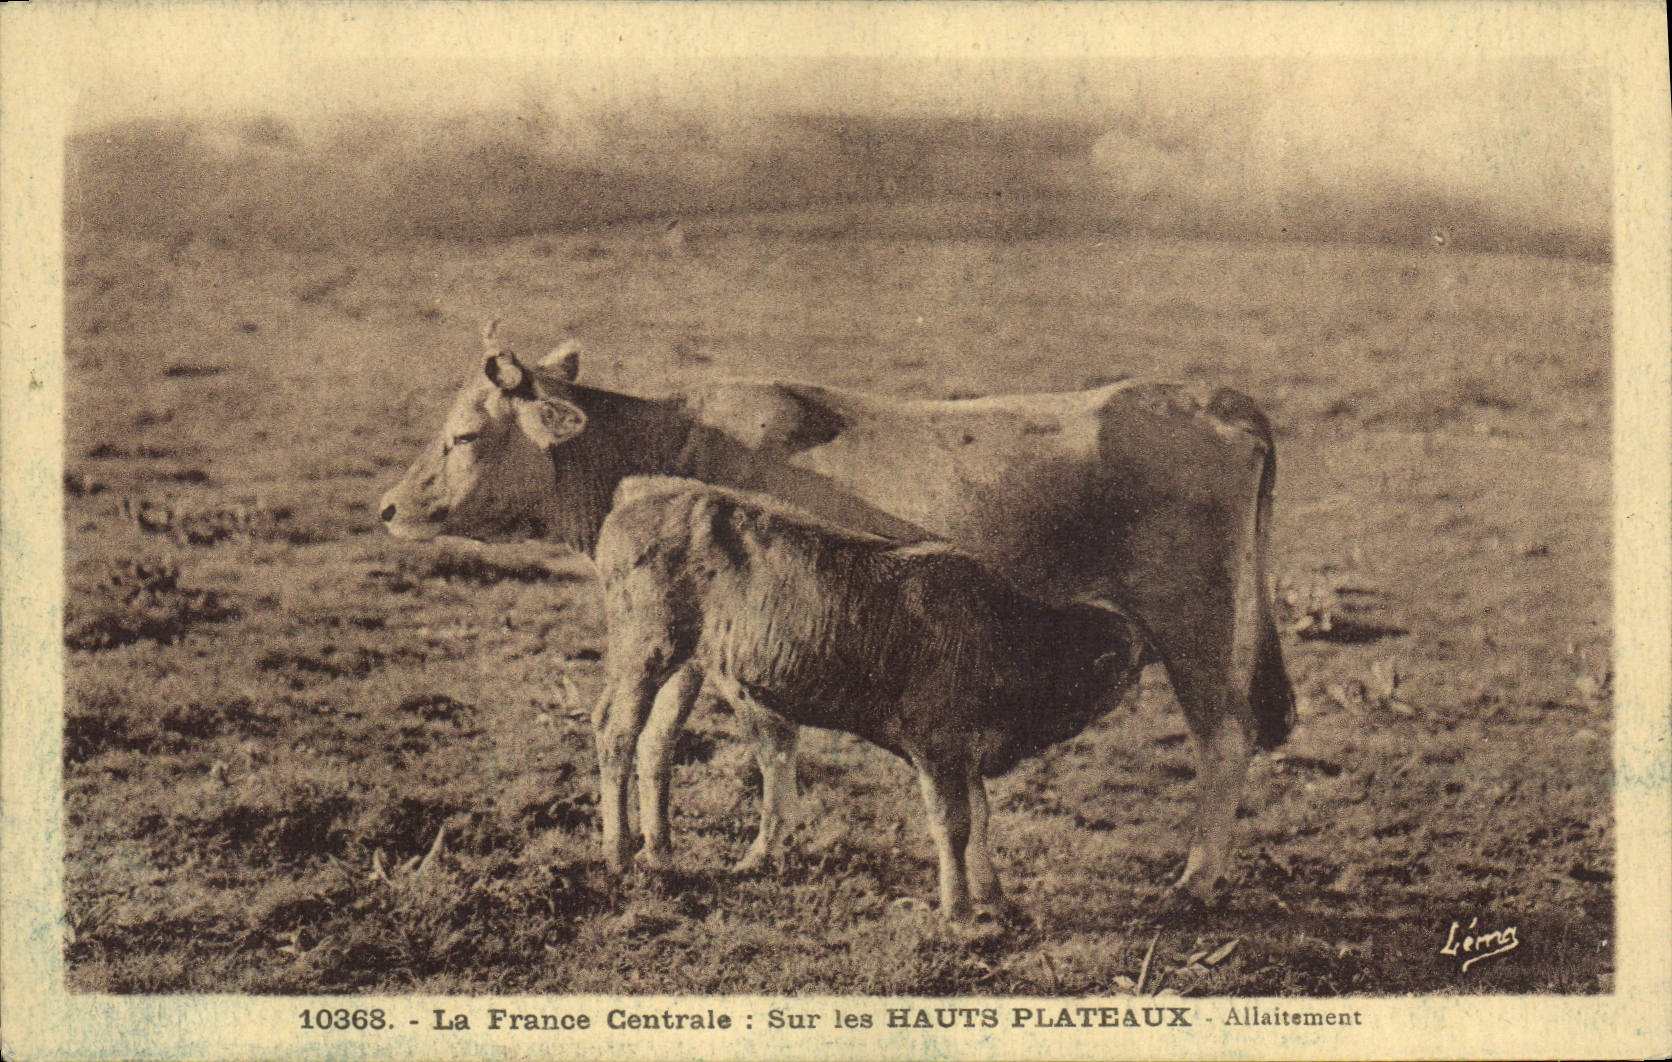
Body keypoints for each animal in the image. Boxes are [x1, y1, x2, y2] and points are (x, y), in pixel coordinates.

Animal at [592, 475, 1151, 920]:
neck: (1010, 635)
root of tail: (640, 497)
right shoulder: (938, 749)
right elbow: (954, 824)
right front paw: (958, 911)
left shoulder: (966, 756)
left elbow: (982, 818)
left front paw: (993, 899)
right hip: (645, 653)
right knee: (616, 732)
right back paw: (619, 856)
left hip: (686, 664)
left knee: (656, 743)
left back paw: (661, 853)